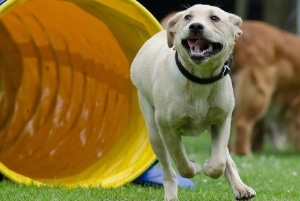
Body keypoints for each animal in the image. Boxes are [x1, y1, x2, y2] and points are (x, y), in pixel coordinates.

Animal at [131, 3, 255, 200]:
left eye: (215, 18)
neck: (200, 80)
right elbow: (182, 162)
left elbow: (219, 162)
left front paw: (207, 166)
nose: (195, 26)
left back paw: (241, 188)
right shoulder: (168, 129)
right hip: (154, 132)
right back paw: (171, 194)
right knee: (168, 170)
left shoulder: (222, 121)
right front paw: (195, 167)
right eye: (187, 17)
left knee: (227, 159)